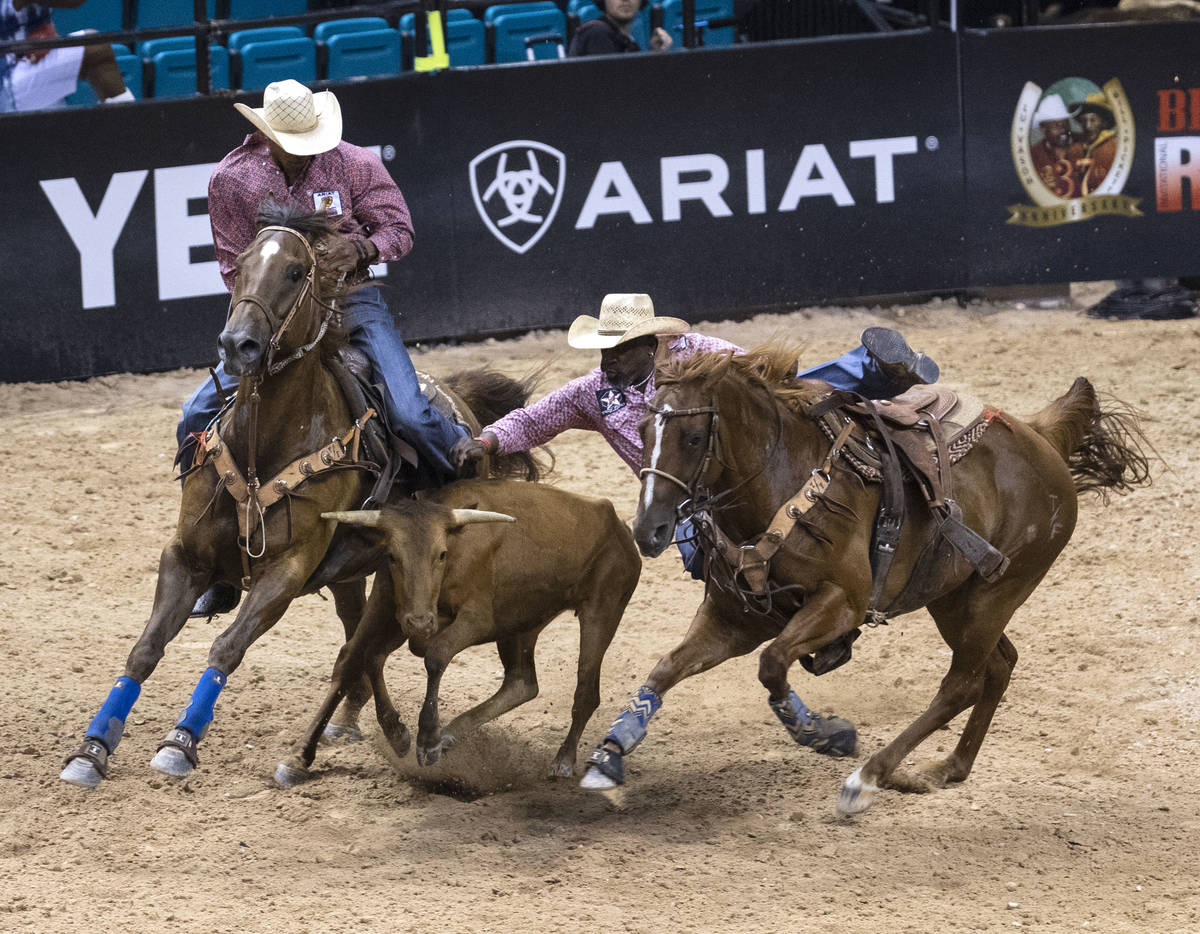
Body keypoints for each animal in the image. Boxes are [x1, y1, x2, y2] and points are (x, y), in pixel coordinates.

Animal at [60, 201, 540, 787]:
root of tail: (460, 407)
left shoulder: (286, 571)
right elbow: (144, 650)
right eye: (240, 264)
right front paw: (92, 748)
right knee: (357, 645)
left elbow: (227, 647)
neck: (262, 447)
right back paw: (356, 722)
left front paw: (180, 742)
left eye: (294, 272)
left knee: (365, 648)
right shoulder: (185, 556)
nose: (237, 345)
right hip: (350, 576)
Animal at [580, 343, 1152, 816]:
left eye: (694, 436)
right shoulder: (735, 616)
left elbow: (772, 665)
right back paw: (948, 768)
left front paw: (824, 734)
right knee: (998, 667)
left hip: (996, 594)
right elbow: (665, 668)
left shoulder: (842, 604)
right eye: (643, 433)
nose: (648, 529)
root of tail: (1043, 438)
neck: (785, 484)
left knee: (961, 683)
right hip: (955, 597)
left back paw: (870, 776)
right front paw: (610, 754)